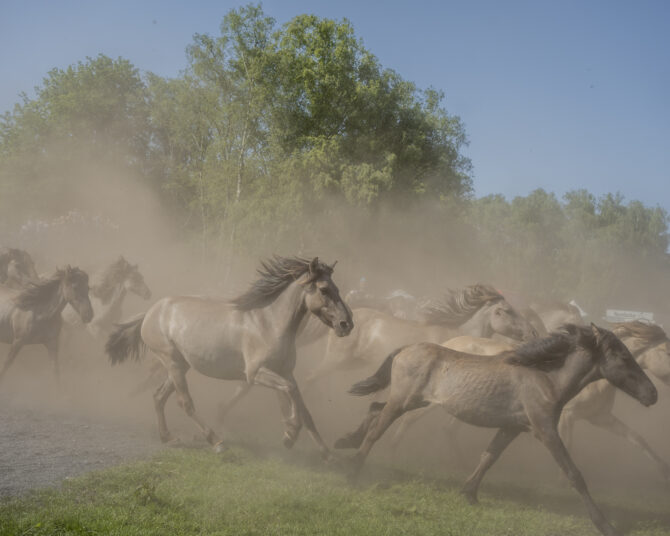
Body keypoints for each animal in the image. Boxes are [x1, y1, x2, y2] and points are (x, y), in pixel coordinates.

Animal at [105, 255, 354, 456]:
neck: (269, 323)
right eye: (324, 289)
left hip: (180, 365)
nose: (346, 324)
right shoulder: (256, 373)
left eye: (337, 288)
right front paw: (290, 435)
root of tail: (151, 311)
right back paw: (216, 442)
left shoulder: (285, 371)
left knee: (158, 396)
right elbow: (290, 392)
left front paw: (325, 452)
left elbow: (303, 407)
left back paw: (168, 437)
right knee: (184, 402)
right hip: (172, 362)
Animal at [338, 322, 660, 536]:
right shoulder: (545, 430)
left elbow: (489, 457)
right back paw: (353, 471)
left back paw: (345, 441)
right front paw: (605, 524)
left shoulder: (511, 428)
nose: (653, 394)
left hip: (409, 401)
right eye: (623, 357)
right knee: (376, 430)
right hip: (404, 402)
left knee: (373, 409)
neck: (546, 378)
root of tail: (407, 347)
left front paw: (469, 494)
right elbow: (574, 474)